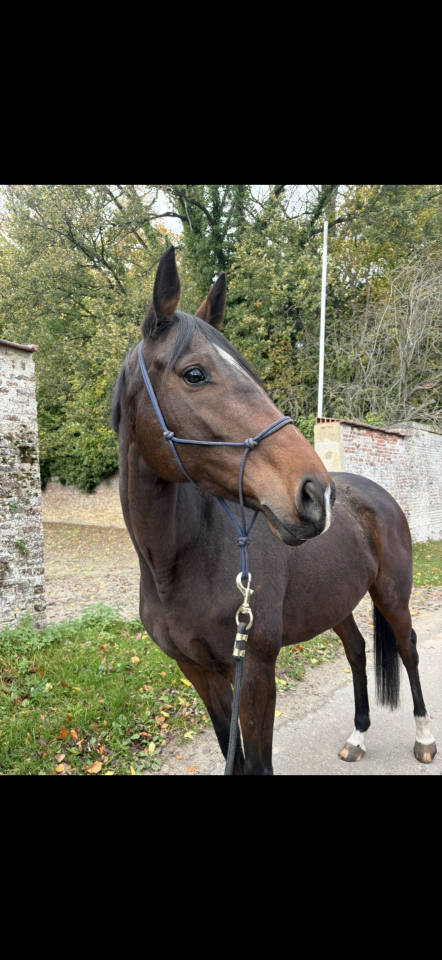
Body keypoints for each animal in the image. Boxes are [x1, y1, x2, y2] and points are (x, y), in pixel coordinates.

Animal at [111, 246, 437, 774]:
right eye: (195, 373)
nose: (317, 494)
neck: (177, 564)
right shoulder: (200, 674)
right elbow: (234, 758)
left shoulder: (257, 672)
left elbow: (258, 765)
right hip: (336, 600)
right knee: (357, 650)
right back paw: (357, 737)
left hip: (392, 596)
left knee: (408, 651)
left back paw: (424, 738)